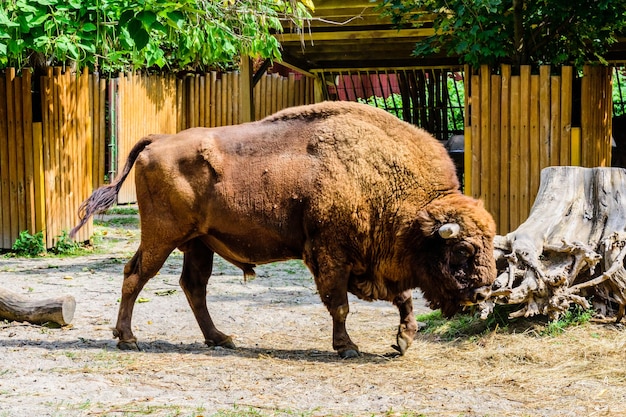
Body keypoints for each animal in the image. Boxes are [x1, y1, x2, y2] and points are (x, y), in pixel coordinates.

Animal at [70, 101, 494, 358]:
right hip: (162, 237)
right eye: (462, 249)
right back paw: (128, 339)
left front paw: (403, 340)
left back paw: (220, 339)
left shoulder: (376, 264)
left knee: (193, 286)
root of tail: (158, 141)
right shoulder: (331, 256)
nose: (484, 291)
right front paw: (347, 347)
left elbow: (403, 298)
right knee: (136, 275)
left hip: (198, 243)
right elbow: (340, 304)